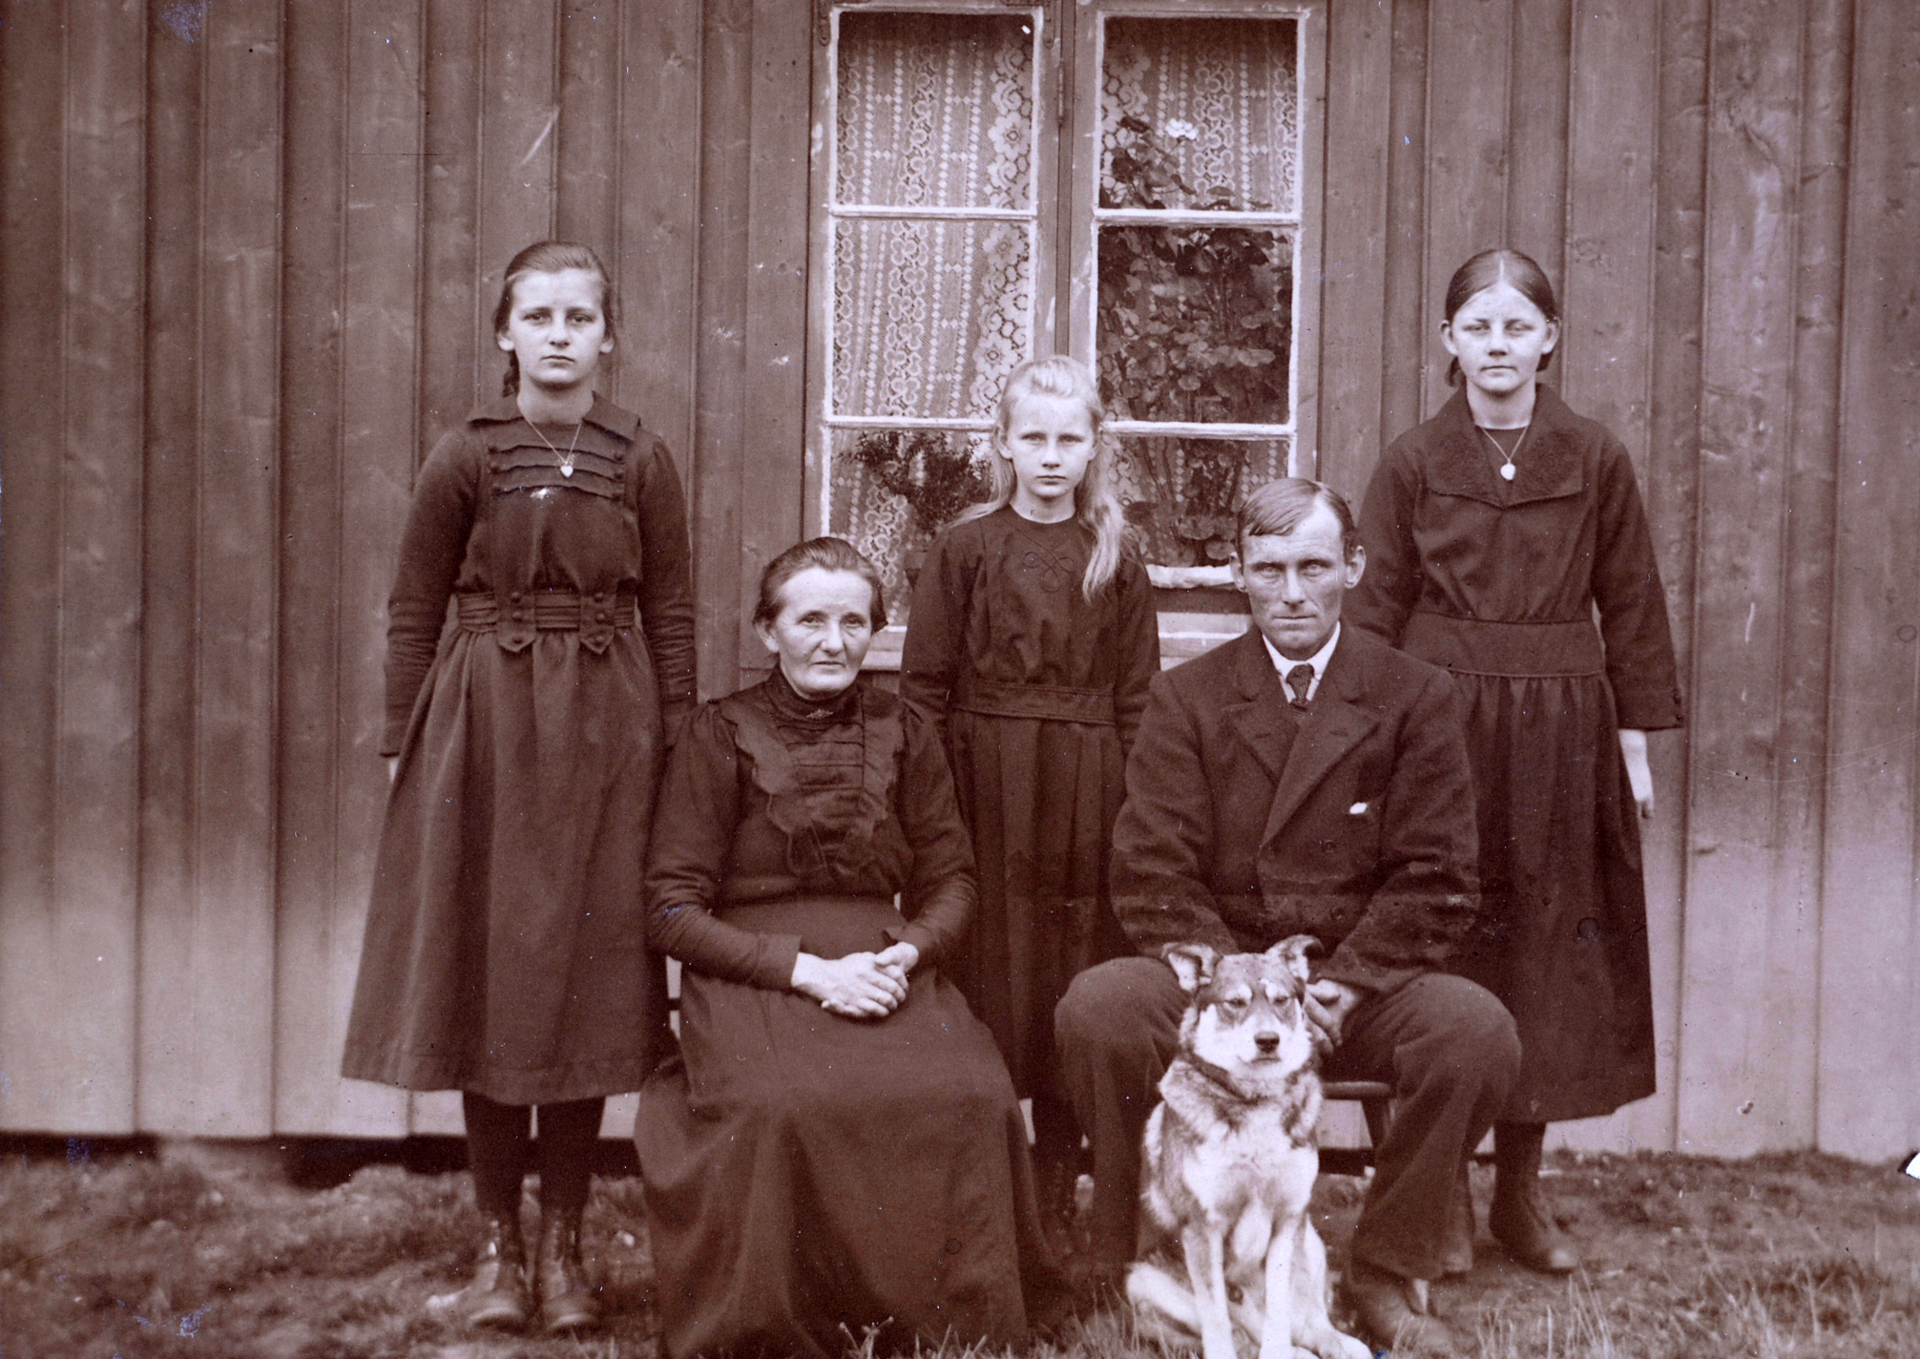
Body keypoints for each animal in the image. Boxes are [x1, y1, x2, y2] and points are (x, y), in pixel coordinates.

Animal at [1128, 936, 1370, 1359]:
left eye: (1282, 1000)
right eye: (1235, 1003)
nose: (1268, 1040)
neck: (1256, 1100)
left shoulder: (1287, 1217)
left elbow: (1278, 1310)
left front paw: (1279, 1350)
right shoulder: (1202, 1227)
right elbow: (1216, 1320)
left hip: (1311, 1243)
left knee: (1313, 1328)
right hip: (1141, 1280)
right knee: (1240, 1334)